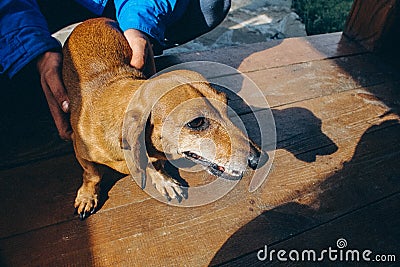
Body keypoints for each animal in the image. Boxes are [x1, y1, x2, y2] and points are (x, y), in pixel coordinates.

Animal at [61, 18, 262, 220]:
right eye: (196, 122)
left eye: (226, 103)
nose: (258, 159)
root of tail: (91, 20)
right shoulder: (81, 151)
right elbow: (92, 174)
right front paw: (87, 196)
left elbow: (155, 163)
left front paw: (163, 180)